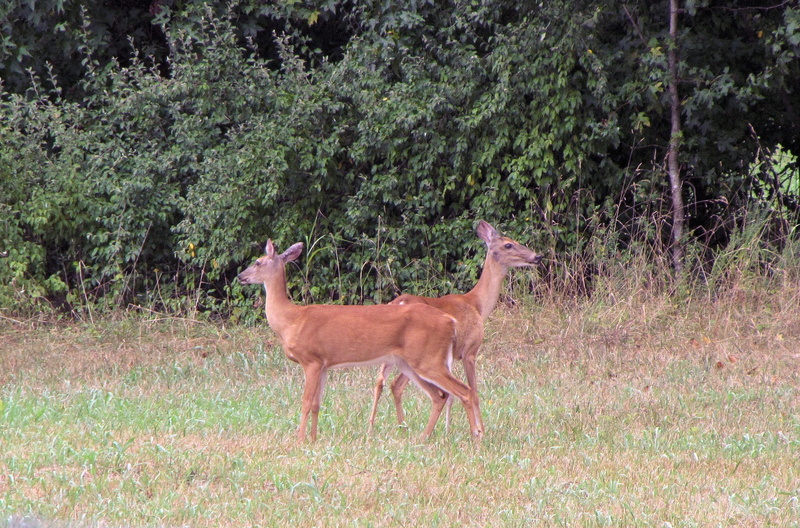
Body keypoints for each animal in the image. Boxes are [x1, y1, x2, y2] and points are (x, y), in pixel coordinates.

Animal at [237, 239, 483, 442]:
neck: (291, 320)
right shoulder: (324, 364)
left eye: (257, 262)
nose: (240, 276)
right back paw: (423, 438)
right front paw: (314, 439)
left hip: (428, 359)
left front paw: (299, 441)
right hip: (410, 362)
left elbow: (306, 403)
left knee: (464, 391)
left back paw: (476, 437)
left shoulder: (311, 360)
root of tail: (450, 321)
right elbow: (317, 404)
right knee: (440, 395)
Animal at [368, 220, 542, 433]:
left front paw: (448, 428)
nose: (537, 256)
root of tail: (398, 302)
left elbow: (452, 395)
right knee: (395, 383)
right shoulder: (470, 351)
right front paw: (479, 429)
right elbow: (474, 392)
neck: (477, 305)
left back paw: (384, 426)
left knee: (384, 381)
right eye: (508, 245)